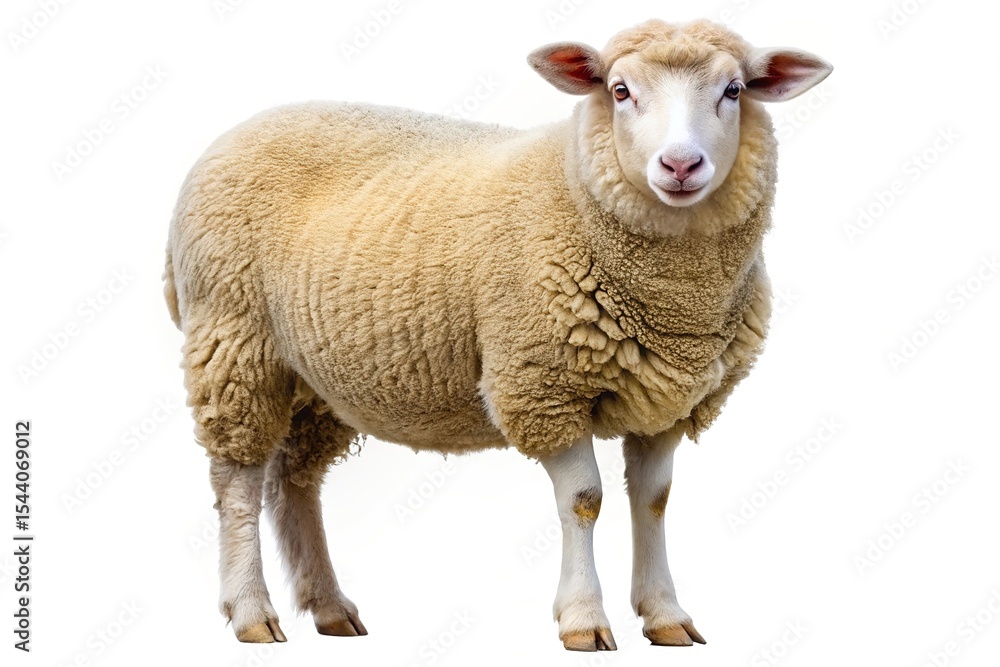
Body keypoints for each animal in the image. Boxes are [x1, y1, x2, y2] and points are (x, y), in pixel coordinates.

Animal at [164, 18, 831, 652]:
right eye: (620, 91)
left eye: (734, 91)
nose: (681, 165)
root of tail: (235, 132)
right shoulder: (542, 384)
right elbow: (584, 500)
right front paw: (584, 620)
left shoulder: (668, 399)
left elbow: (654, 500)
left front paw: (666, 616)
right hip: (234, 342)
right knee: (238, 484)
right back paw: (252, 612)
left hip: (317, 378)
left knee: (294, 481)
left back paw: (330, 608)